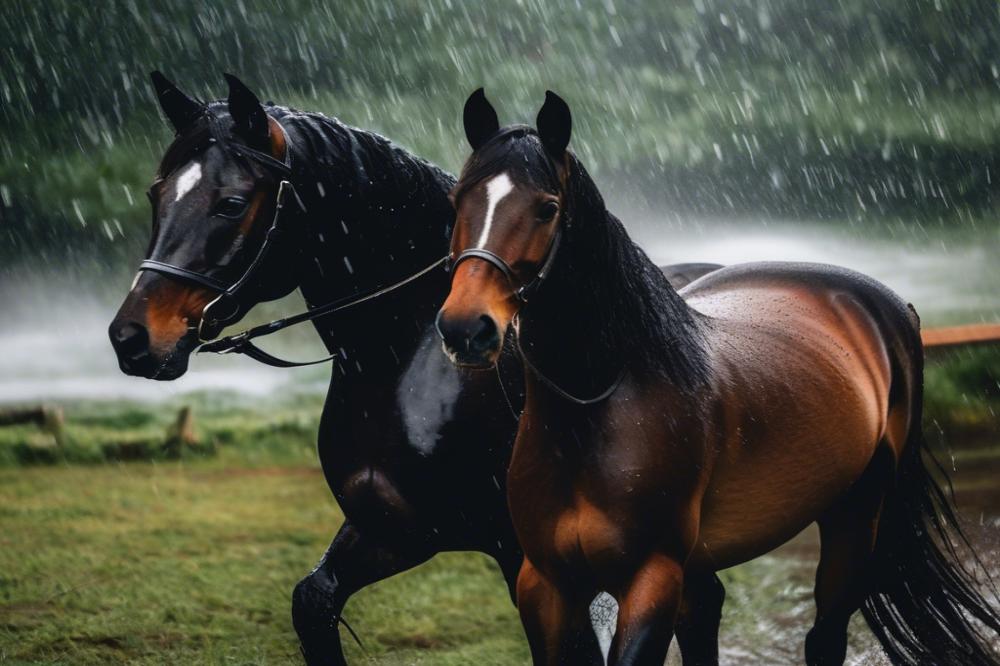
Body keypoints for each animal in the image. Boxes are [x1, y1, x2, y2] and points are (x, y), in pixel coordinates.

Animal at [111, 71, 720, 660]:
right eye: (156, 193)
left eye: (232, 204)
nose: (132, 338)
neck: (407, 362)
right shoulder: (392, 528)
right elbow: (312, 601)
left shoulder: (526, 555)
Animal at [438, 89, 1000, 664]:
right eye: (458, 201)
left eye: (547, 208)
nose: (466, 327)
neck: (595, 414)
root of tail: (889, 304)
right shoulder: (546, 585)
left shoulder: (651, 579)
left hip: (856, 513)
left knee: (825, 635)